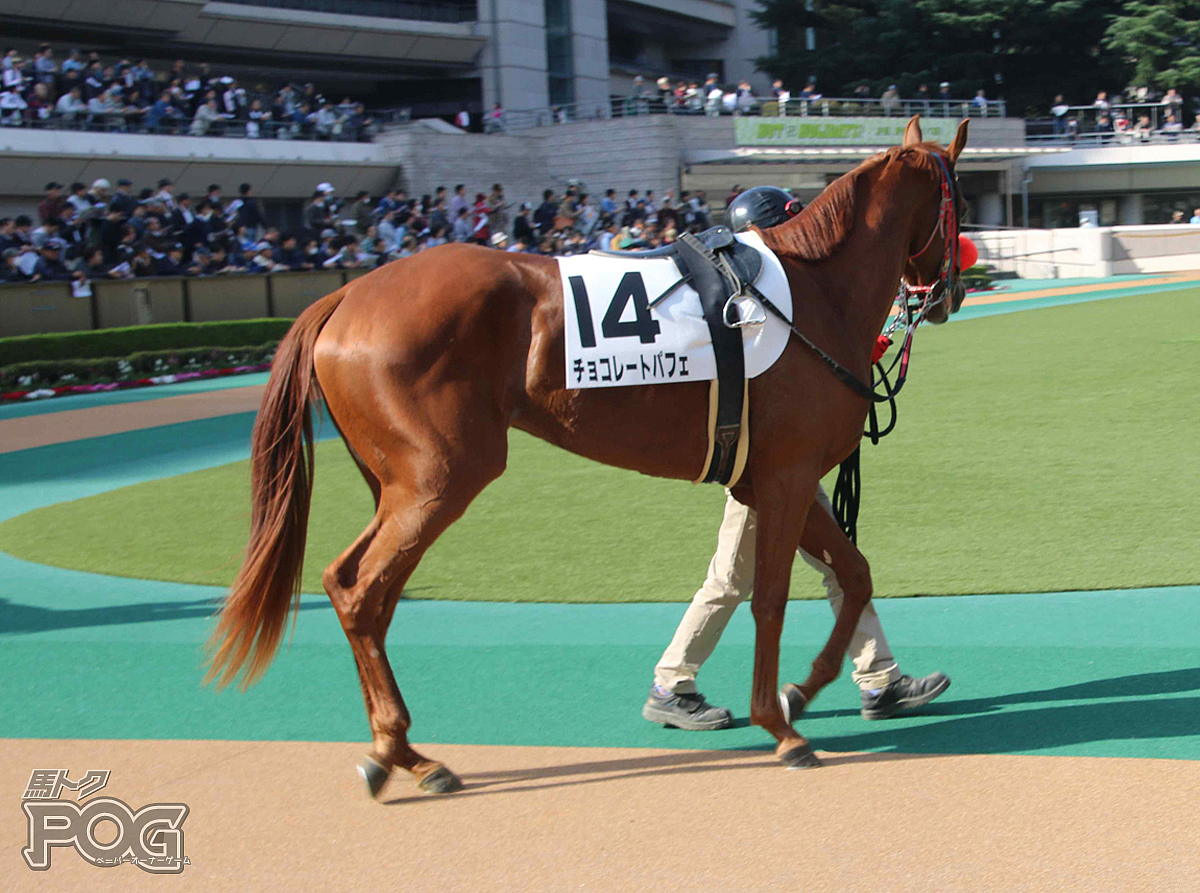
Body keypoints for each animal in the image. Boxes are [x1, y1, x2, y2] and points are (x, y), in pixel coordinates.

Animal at [211, 117, 969, 796]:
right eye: (959, 196)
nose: (954, 289)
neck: (814, 293)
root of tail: (345, 294)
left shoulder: (771, 481)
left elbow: (855, 576)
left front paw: (807, 690)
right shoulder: (785, 479)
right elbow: (774, 599)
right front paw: (782, 725)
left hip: (395, 483)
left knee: (359, 589)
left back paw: (398, 753)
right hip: (439, 478)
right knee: (362, 591)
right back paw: (403, 753)